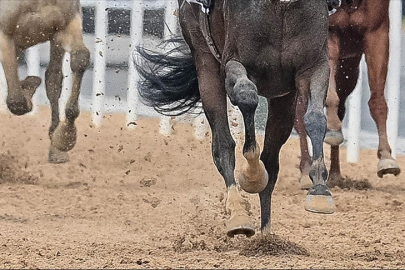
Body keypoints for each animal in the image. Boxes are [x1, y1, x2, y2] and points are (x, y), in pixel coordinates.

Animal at [0, 0, 89, 162]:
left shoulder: (66, 25)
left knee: (53, 79)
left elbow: (80, 59)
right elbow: (16, 101)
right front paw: (29, 86)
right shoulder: (5, 35)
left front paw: (65, 137)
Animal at [135, 0, 338, 236]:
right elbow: (246, 96)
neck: (279, 6)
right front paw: (252, 175)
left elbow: (315, 118)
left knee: (271, 160)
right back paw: (238, 214)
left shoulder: (313, 67)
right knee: (223, 146)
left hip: (283, 99)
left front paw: (320, 190)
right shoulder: (233, 64)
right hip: (205, 63)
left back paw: (266, 235)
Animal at [294, 0, 400, 188]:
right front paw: (332, 128)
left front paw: (387, 157)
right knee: (300, 113)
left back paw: (335, 174)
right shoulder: (329, 33)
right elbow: (328, 97)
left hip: (349, 69)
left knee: (340, 107)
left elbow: (377, 100)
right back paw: (306, 170)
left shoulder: (377, 32)